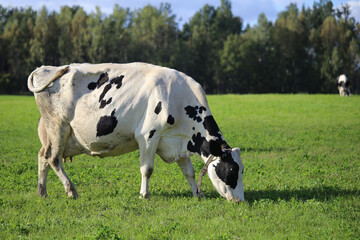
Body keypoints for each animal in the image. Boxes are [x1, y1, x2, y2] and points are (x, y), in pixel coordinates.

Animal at [28, 62, 246, 202]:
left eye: (242, 170)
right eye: (231, 170)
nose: (240, 201)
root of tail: (47, 69)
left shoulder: (178, 141)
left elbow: (189, 172)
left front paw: (198, 194)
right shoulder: (148, 135)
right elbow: (147, 169)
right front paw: (144, 195)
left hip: (54, 133)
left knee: (43, 156)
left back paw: (42, 192)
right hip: (58, 125)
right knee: (53, 158)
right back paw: (71, 190)